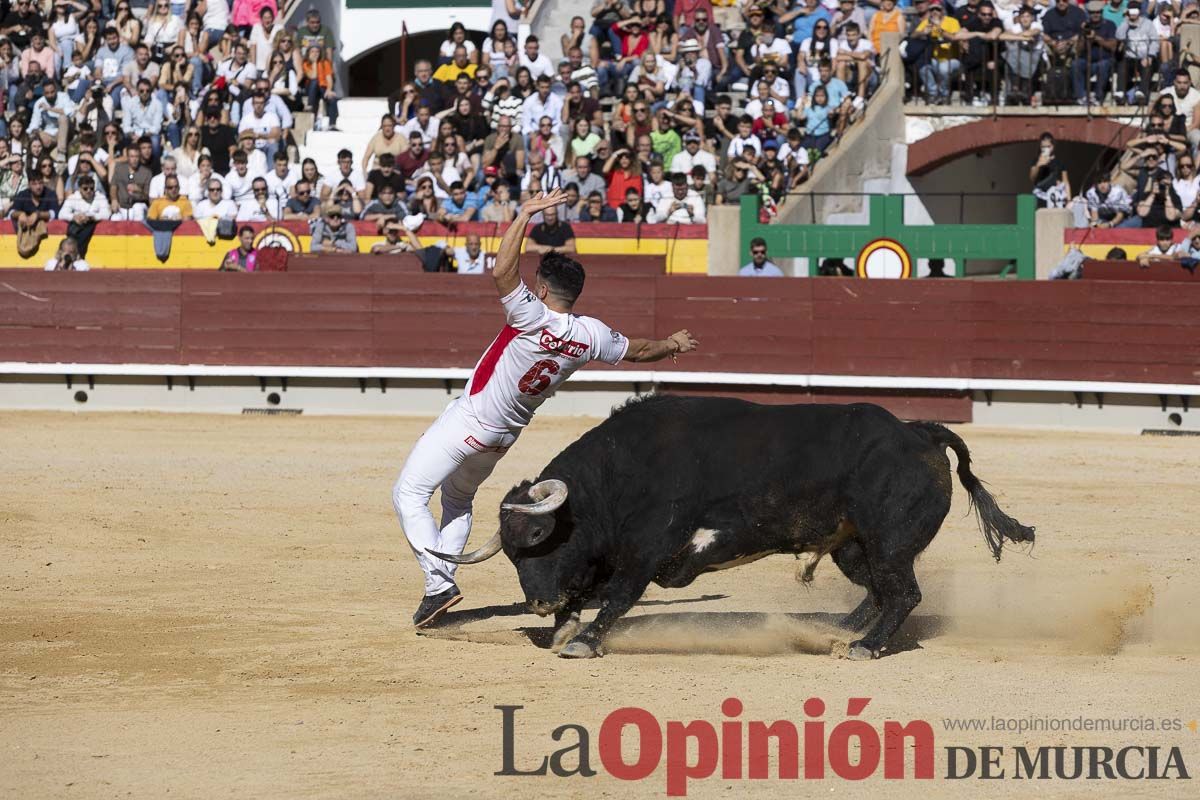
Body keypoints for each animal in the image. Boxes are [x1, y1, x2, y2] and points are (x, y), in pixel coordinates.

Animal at [436, 395, 1036, 662]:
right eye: (511, 554)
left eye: (539, 538)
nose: (537, 603)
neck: (621, 475)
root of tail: (919, 433)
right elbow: (590, 593)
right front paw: (563, 629)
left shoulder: (647, 549)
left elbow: (619, 597)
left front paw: (581, 642)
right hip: (853, 545)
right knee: (878, 591)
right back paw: (840, 632)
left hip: (889, 542)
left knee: (903, 593)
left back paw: (864, 647)